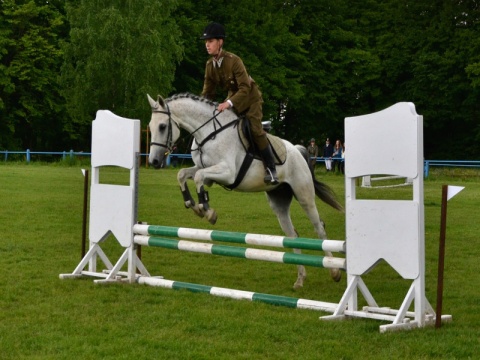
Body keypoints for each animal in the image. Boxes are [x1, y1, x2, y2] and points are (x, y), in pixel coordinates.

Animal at [148, 93, 344, 290]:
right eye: (150, 127)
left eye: (162, 126)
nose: (154, 162)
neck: (209, 134)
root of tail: (297, 150)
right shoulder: (204, 170)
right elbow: (183, 175)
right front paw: (194, 206)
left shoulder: (228, 173)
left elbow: (198, 178)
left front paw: (208, 211)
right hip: (279, 201)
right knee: (292, 235)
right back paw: (300, 278)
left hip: (304, 195)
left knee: (319, 228)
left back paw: (334, 272)